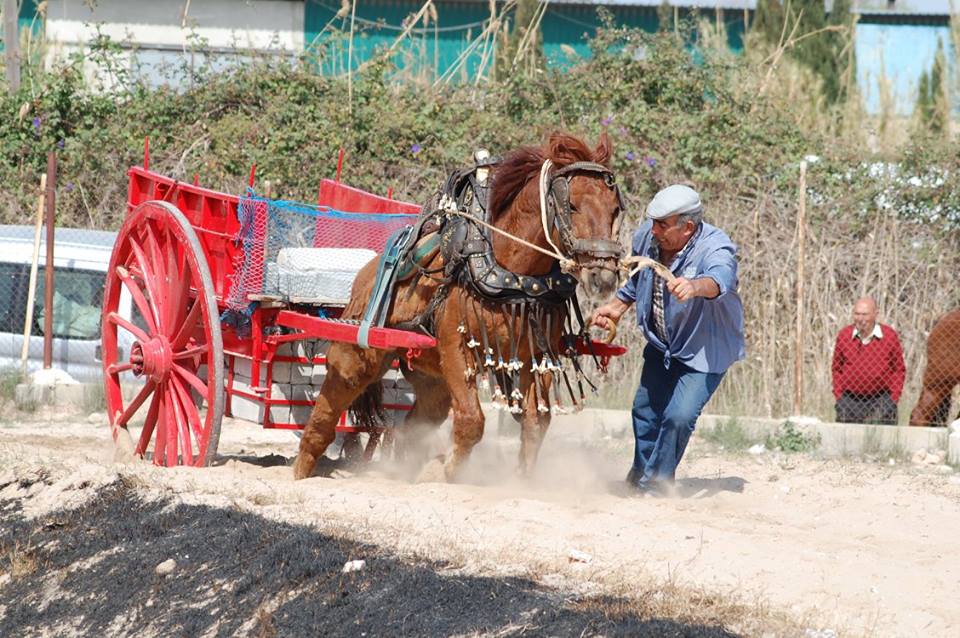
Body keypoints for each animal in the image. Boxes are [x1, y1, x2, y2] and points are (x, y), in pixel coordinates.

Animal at [292, 131, 624, 481]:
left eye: (615, 209)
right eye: (570, 205)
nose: (602, 276)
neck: (513, 275)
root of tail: (364, 274)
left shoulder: (536, 354)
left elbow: (536, 422)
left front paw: (521, 477)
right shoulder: (455, 346)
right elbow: (471, 420)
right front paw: (445, 471)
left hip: (431, 379)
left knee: (414, 426)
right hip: (358, 354)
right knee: (331, 405)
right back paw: (302, 470)